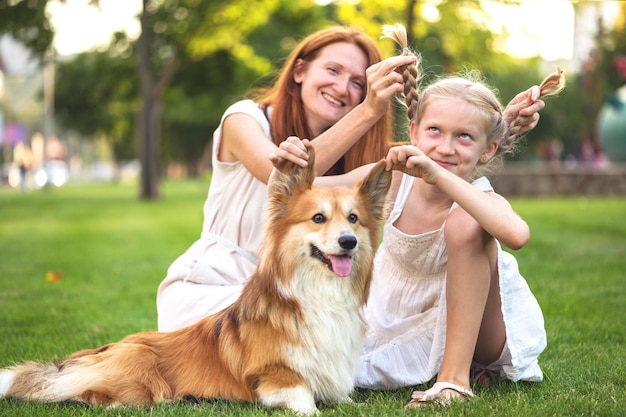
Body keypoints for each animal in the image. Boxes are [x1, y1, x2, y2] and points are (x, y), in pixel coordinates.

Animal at [0, 145, 390, 412]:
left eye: (353, 219)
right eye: (318, 218)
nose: (348, 242)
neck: (319, 295)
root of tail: (88, 355)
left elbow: (344, 399)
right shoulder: (276, 377)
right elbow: (305, 400)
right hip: (139, 362)